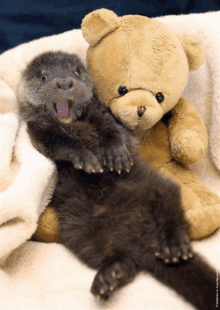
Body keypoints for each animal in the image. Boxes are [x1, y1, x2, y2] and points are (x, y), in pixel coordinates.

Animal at [17, 52, 218, 308]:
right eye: (43, 77)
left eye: (76, 73)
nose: (63, 83)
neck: (76, 124)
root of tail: (143, 239)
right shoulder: (38, 132)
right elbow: (61, 143)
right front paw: (85, 157)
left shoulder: (104, 115)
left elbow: (113, 132)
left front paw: (116, 156)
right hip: (78, 231)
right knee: (119, 259)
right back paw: (111, 276)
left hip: (158, 186)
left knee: (171, 208)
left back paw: (175, 246)